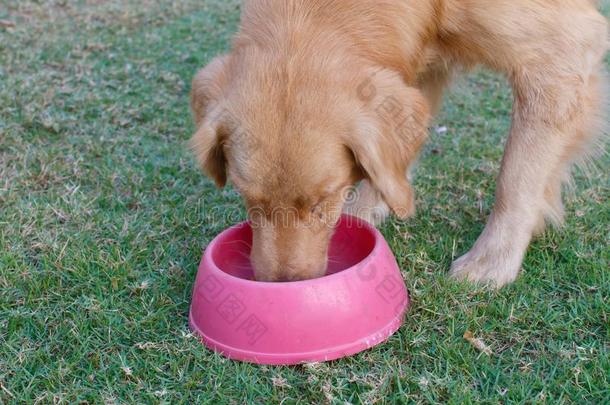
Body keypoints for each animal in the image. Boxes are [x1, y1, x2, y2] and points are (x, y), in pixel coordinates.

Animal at [189, 0, 604, 284]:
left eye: (323, 202)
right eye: (247, 198)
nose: (285, 285)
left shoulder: (561, 49)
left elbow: (516, 175)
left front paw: (493, 260)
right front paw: (365, 211)